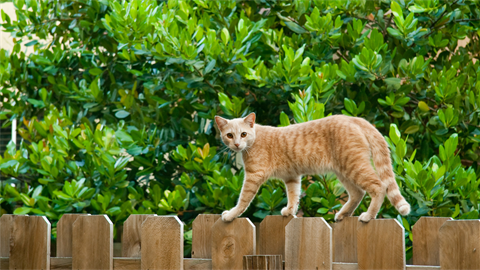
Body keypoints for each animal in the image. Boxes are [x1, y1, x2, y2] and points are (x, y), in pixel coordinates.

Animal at [216, 113, 410, 223]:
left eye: (243, 134)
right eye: (229, 135)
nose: (236, 144)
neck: (254, 139)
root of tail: (353, 118)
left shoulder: (253, 176)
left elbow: (243, 200)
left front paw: (231, 214)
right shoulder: (292, 177)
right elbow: (294, 196)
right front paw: (290, 211)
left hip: (354, 166)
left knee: (379, 187)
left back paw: (369, 216)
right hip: (344, 171)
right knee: (358, 193)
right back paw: (343, 214)